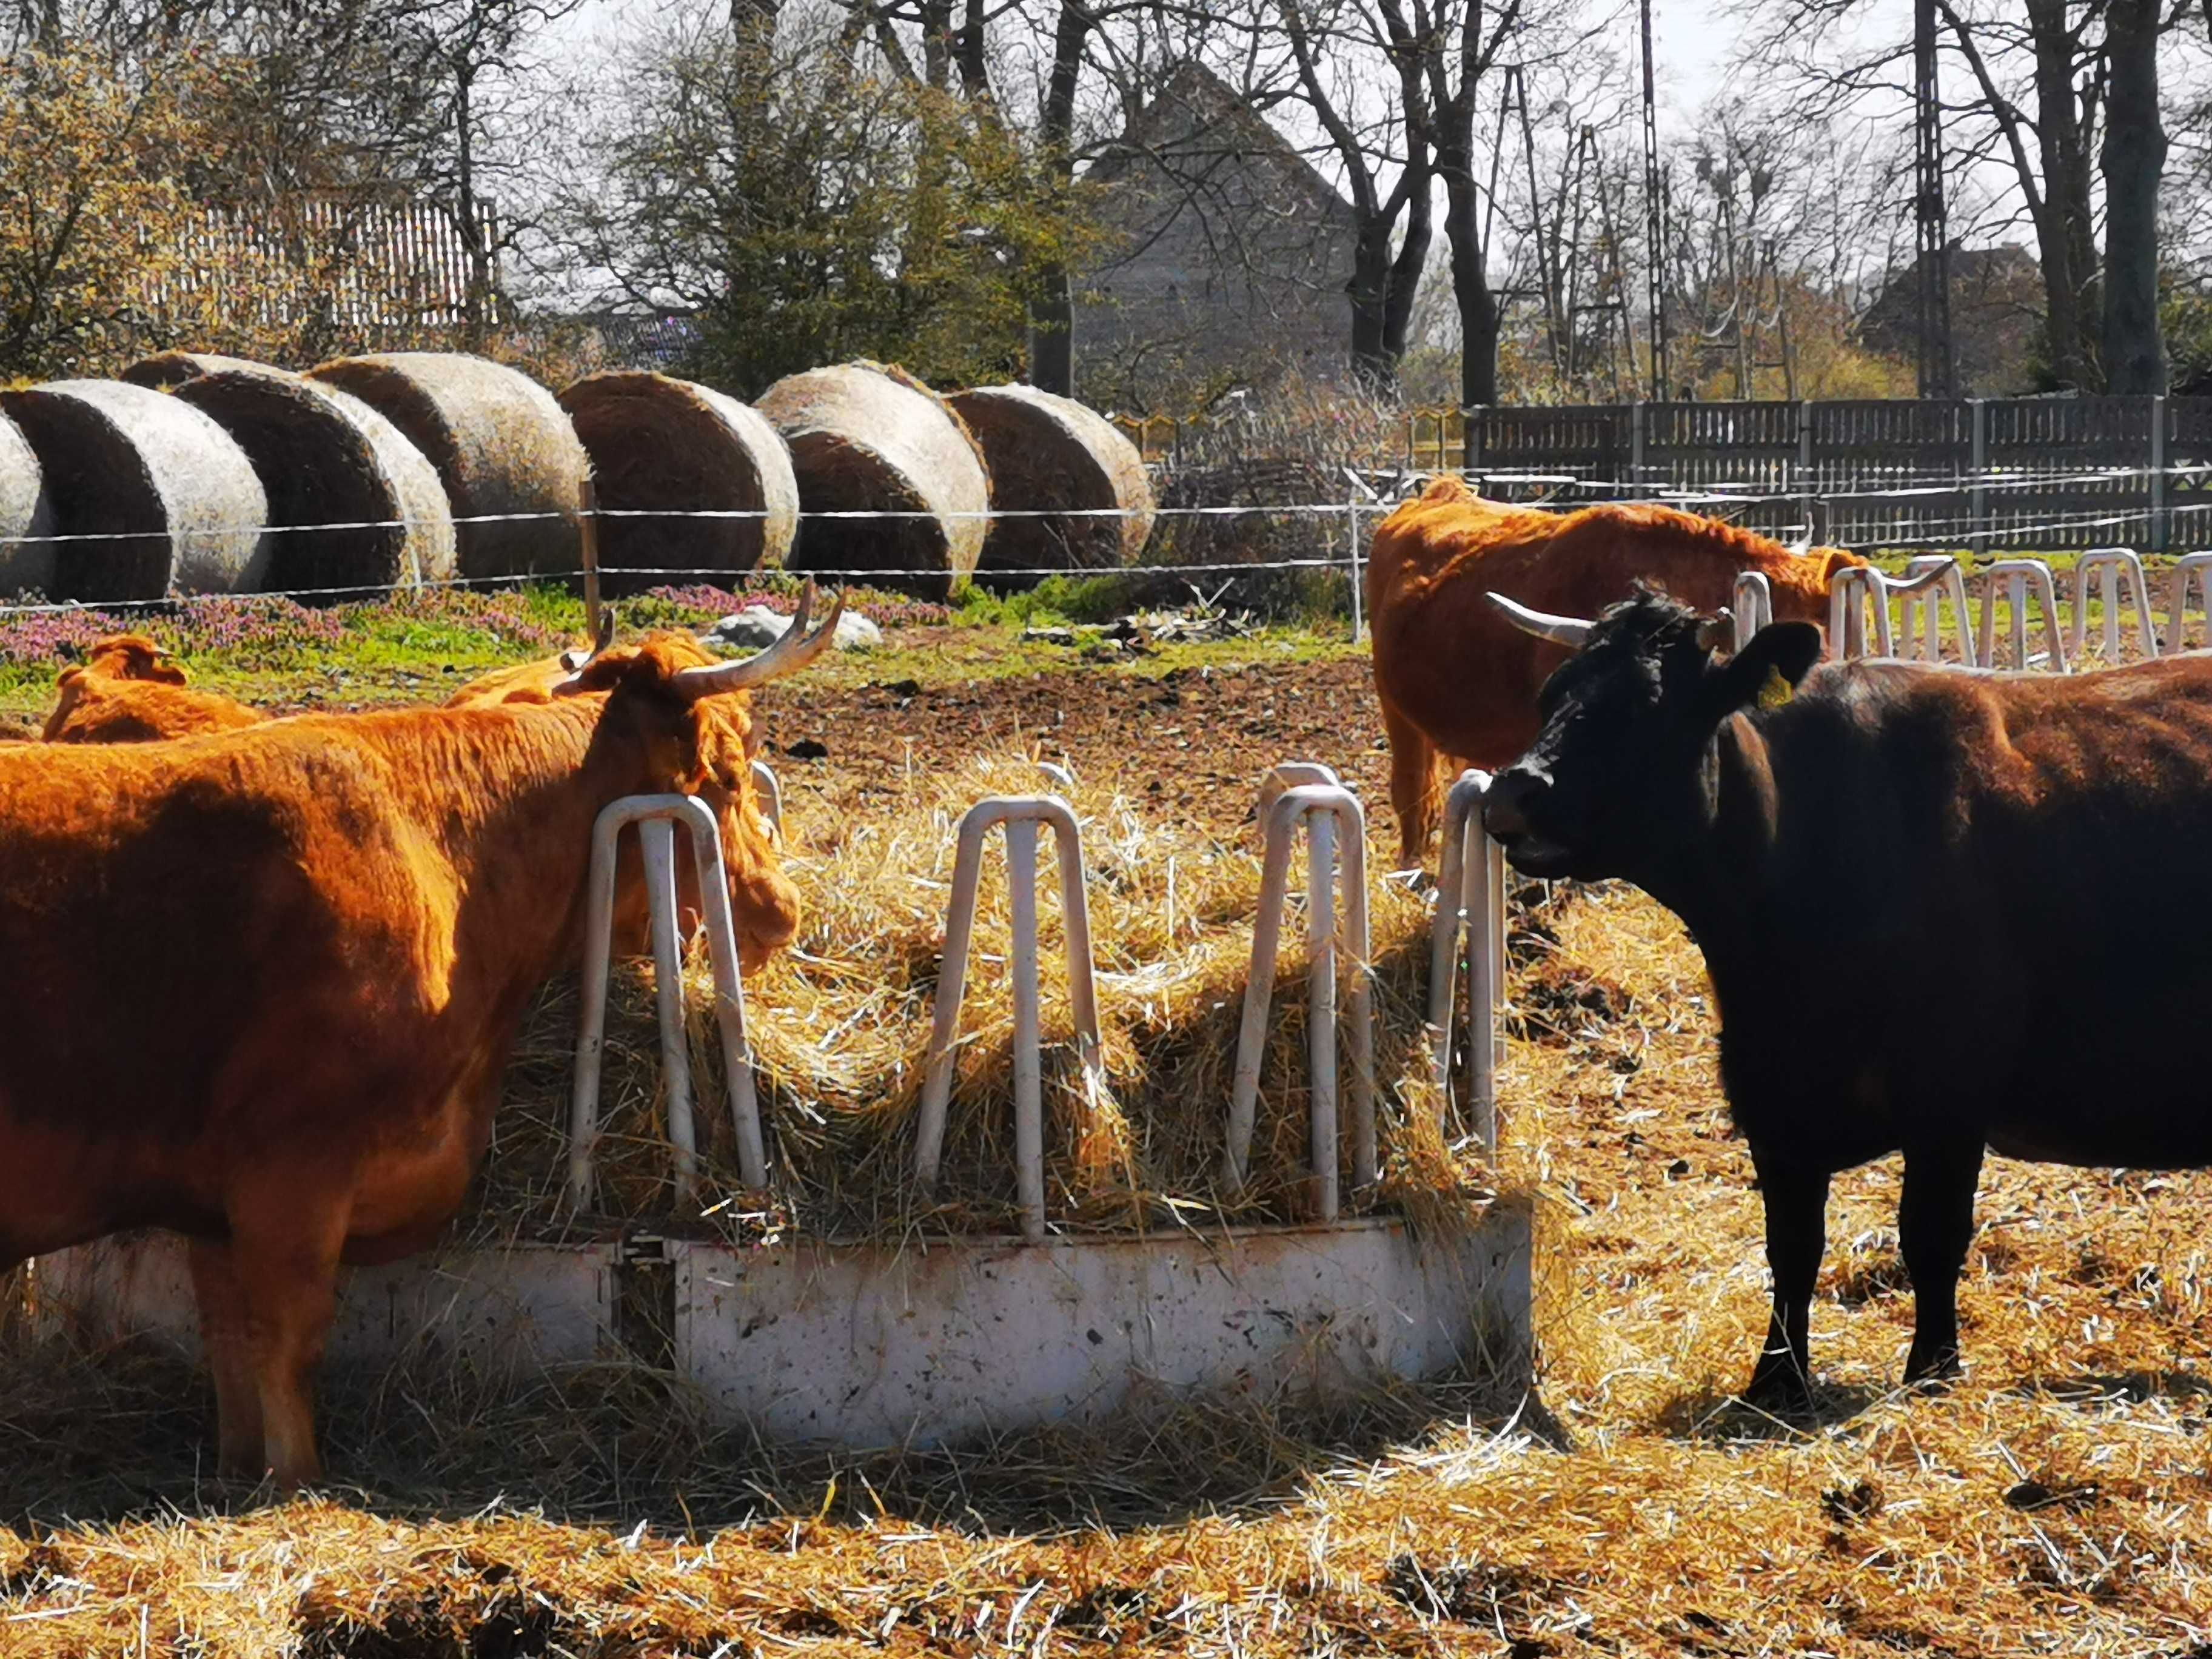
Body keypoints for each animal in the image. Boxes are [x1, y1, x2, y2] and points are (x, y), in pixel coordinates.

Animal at [0, 592, 836, 1495]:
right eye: (726, 771)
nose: (781, 910)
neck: (445, 860)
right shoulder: (288, 1174)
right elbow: (289, 1349)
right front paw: (296, 1485)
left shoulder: (211, 1208)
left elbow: (230, 1352)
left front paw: (236, 1474)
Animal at [1477, 592, 2212, 1407]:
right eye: (1552, 695)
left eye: (1647, 706)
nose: (1512, 792)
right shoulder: (1771, 1098)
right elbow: (1792, 1248)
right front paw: (1776, 1378)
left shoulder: (1948, 1097)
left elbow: (1931, 1237)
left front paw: (1932, 1370)